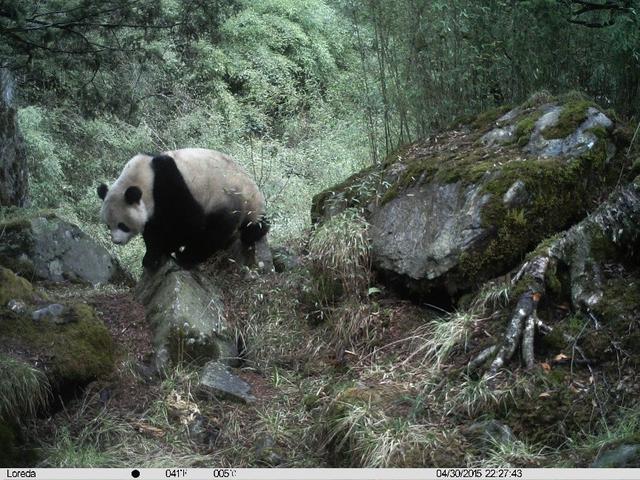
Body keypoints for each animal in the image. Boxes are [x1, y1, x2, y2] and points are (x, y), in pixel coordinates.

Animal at [97, 147, 270, 270]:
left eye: (122, 225)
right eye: (108, 225)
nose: (116, 241)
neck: (145, 177)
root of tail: (255, 196)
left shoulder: (169, 185)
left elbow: (189, 222)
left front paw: (166, 249)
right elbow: (153, 228)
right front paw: (151, 256)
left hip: (228, 199)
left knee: (218, 231)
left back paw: (188, 256)